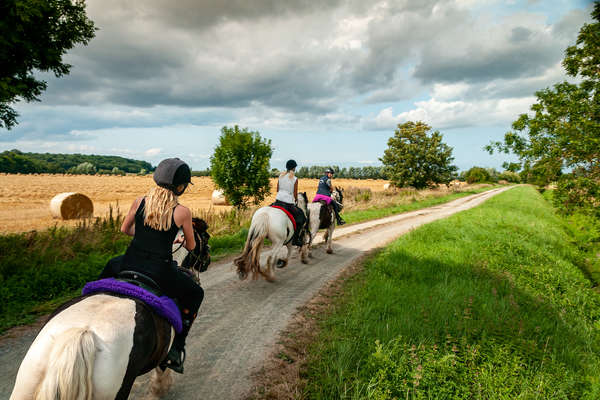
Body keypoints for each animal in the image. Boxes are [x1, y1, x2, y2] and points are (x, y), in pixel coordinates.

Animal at [9, 219, 212, 400]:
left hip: (25, 385)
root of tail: (82, 334)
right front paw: (159, 389)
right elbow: (163, 367)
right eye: (205, 239)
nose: (207, 261)